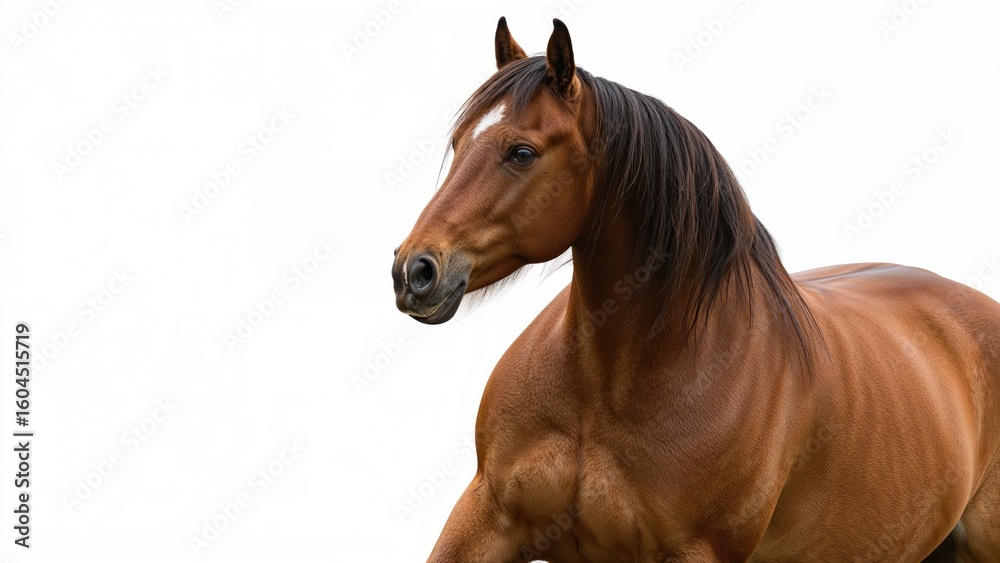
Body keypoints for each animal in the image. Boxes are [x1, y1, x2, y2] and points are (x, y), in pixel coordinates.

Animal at [391, 17, 1000, 562]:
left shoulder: (699, 551)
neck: (604, 384)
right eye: (457, 142)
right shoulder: (488, 516)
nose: (413, 271)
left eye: (522, 152)